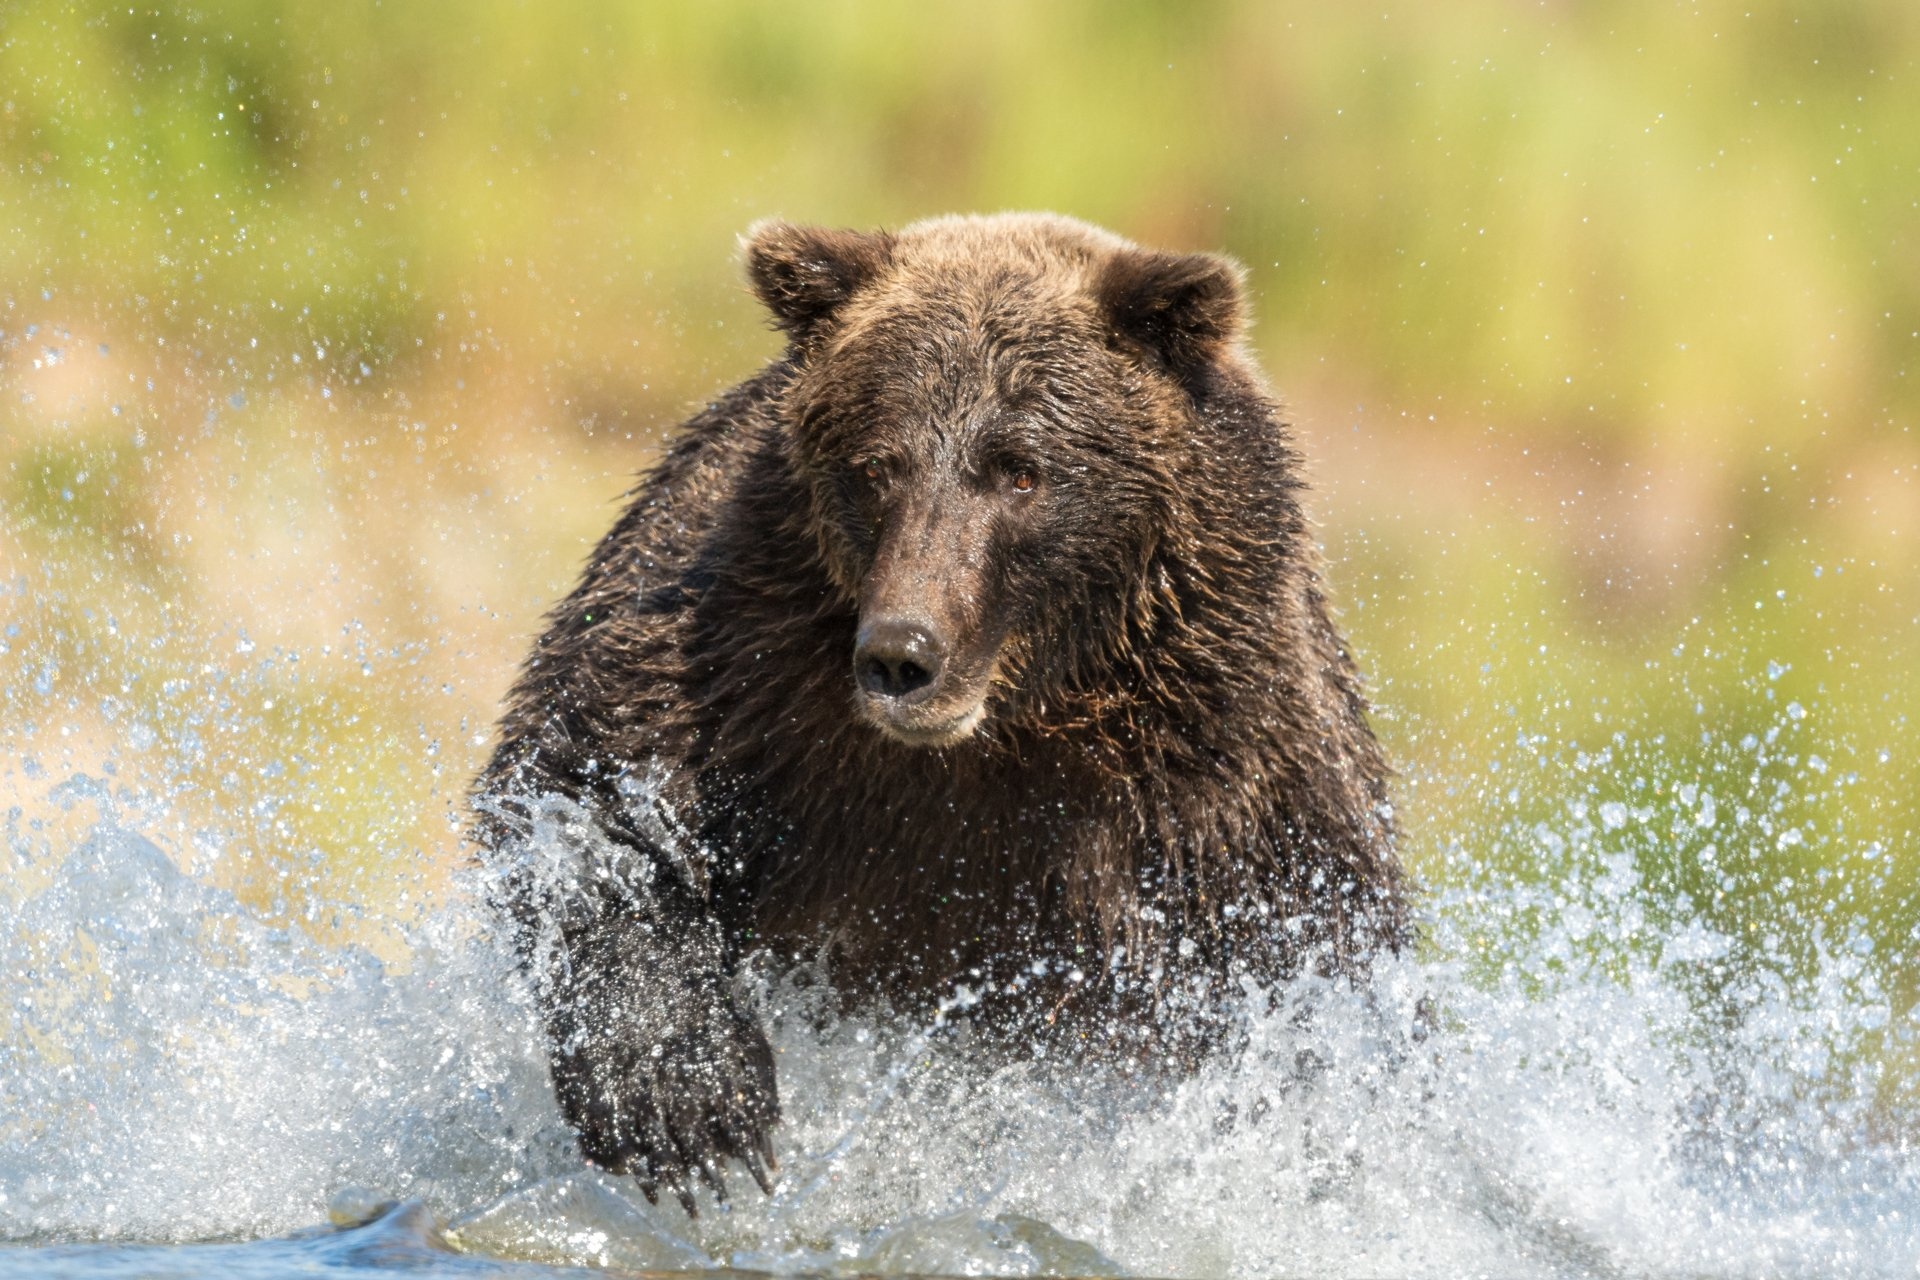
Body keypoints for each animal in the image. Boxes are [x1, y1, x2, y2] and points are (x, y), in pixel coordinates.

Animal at [474, 210, 1420, 1212]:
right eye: (876, 464)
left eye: (1020, 471)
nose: (903, 652)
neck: (1013, 719)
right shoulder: (741, 640)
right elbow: (590, 786)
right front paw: (685, 1099)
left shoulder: (1230, 751)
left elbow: (1306, 964)